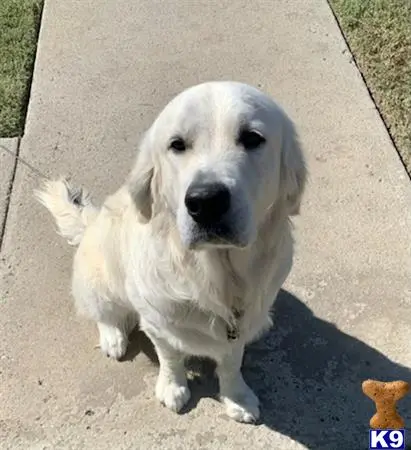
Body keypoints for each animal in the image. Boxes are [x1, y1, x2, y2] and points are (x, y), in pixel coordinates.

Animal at [36, 81, 306, 422]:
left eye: (252, 138)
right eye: (177, 145)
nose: (206, 201)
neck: (215, 275)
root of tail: (91, 222)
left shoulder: (236, 328)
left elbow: (231, 361)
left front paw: (237, 397)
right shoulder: (157, 323)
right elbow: (171, 357)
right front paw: (173, 388)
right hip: (98, 281)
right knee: (103, 313)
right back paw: (113, 337)